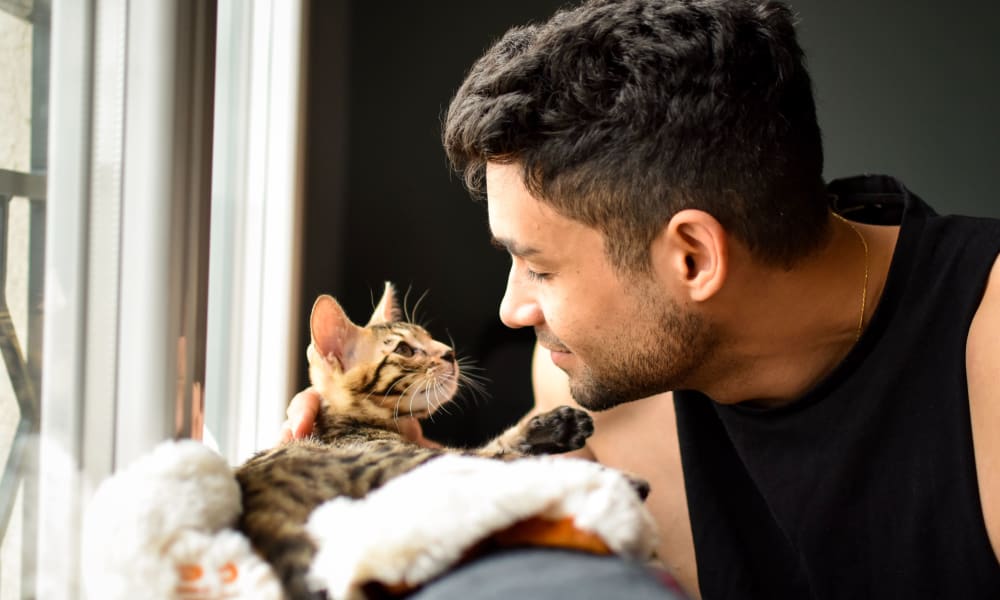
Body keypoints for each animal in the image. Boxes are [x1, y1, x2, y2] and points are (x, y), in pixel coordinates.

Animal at [234, 284, 592, 596]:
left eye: (429, 337)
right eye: (405, 350)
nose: (449, 353)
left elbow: (499, 442)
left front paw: (555, 426)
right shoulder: (427, 457)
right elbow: (493, 452)